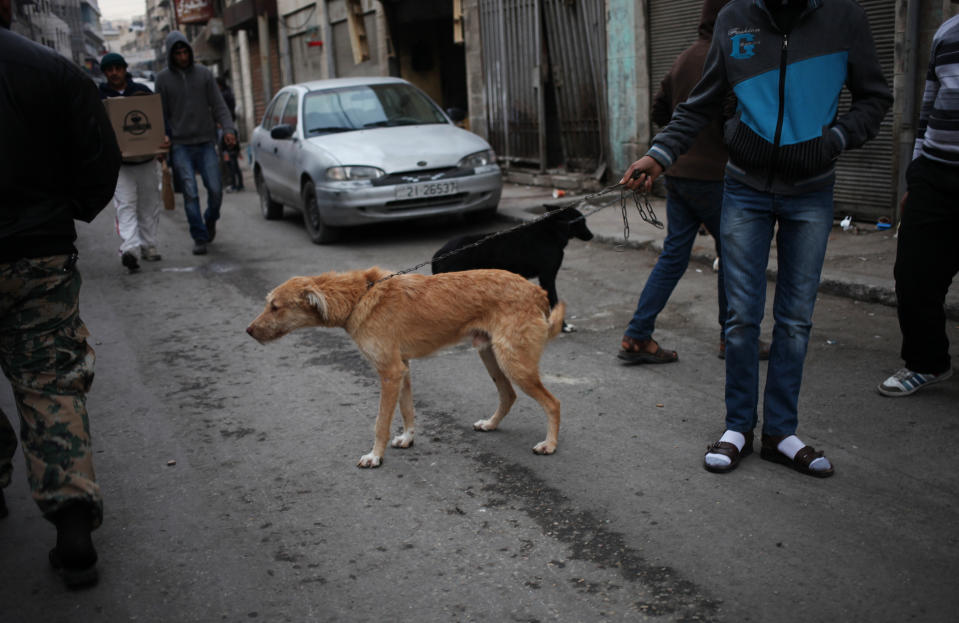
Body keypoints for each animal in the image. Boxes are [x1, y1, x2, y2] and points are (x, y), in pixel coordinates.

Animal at [246, 268, 568, 468]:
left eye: (275, 307)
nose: (248, 331)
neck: (359, 297)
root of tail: (537, 291)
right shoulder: (402, 369)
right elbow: (407, 410)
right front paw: (408, 439)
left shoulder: (389, 372)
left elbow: (381, 423)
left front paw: (375, 457)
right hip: (491, 356)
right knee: (508, 395)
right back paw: (490, 424)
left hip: (514, 363)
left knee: (553, 402)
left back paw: (550, 445)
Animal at [434, 205, 592, 332]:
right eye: (582, 221)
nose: (591, 236)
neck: (553, 230)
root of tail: (439, 254)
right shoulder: (547, 277)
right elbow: (554, 302)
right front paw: (563, 327)